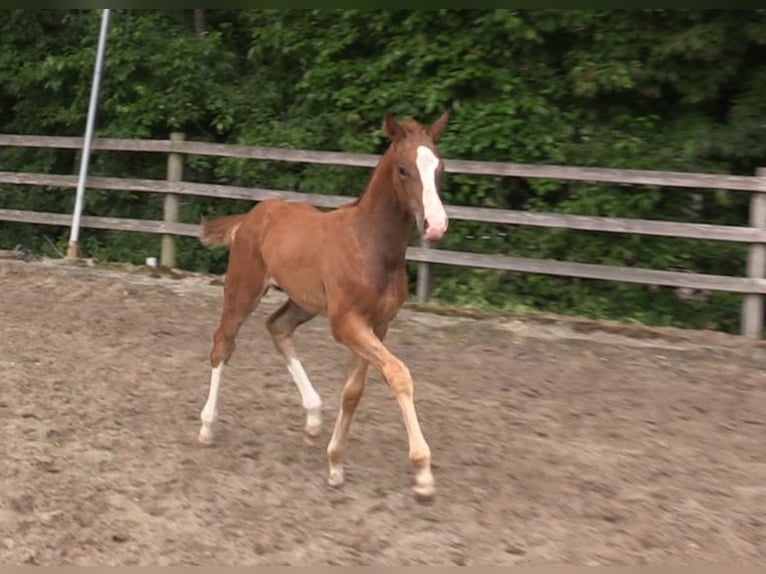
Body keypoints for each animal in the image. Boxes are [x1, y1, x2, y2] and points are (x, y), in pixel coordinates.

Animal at [198, 110, 452, 502]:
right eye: (403, 168)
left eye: (439, 166)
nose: (436, 226)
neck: (370, 246)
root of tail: (253, 215)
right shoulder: (346, 323)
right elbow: (398, 374)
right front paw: (423, 472)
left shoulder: (377, 325)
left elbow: (353, 391)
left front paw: (335, 463)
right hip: (242, 291)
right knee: (223, 344)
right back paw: (208, 426)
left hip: (303, 302)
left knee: (277, 326)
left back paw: (314, 417)